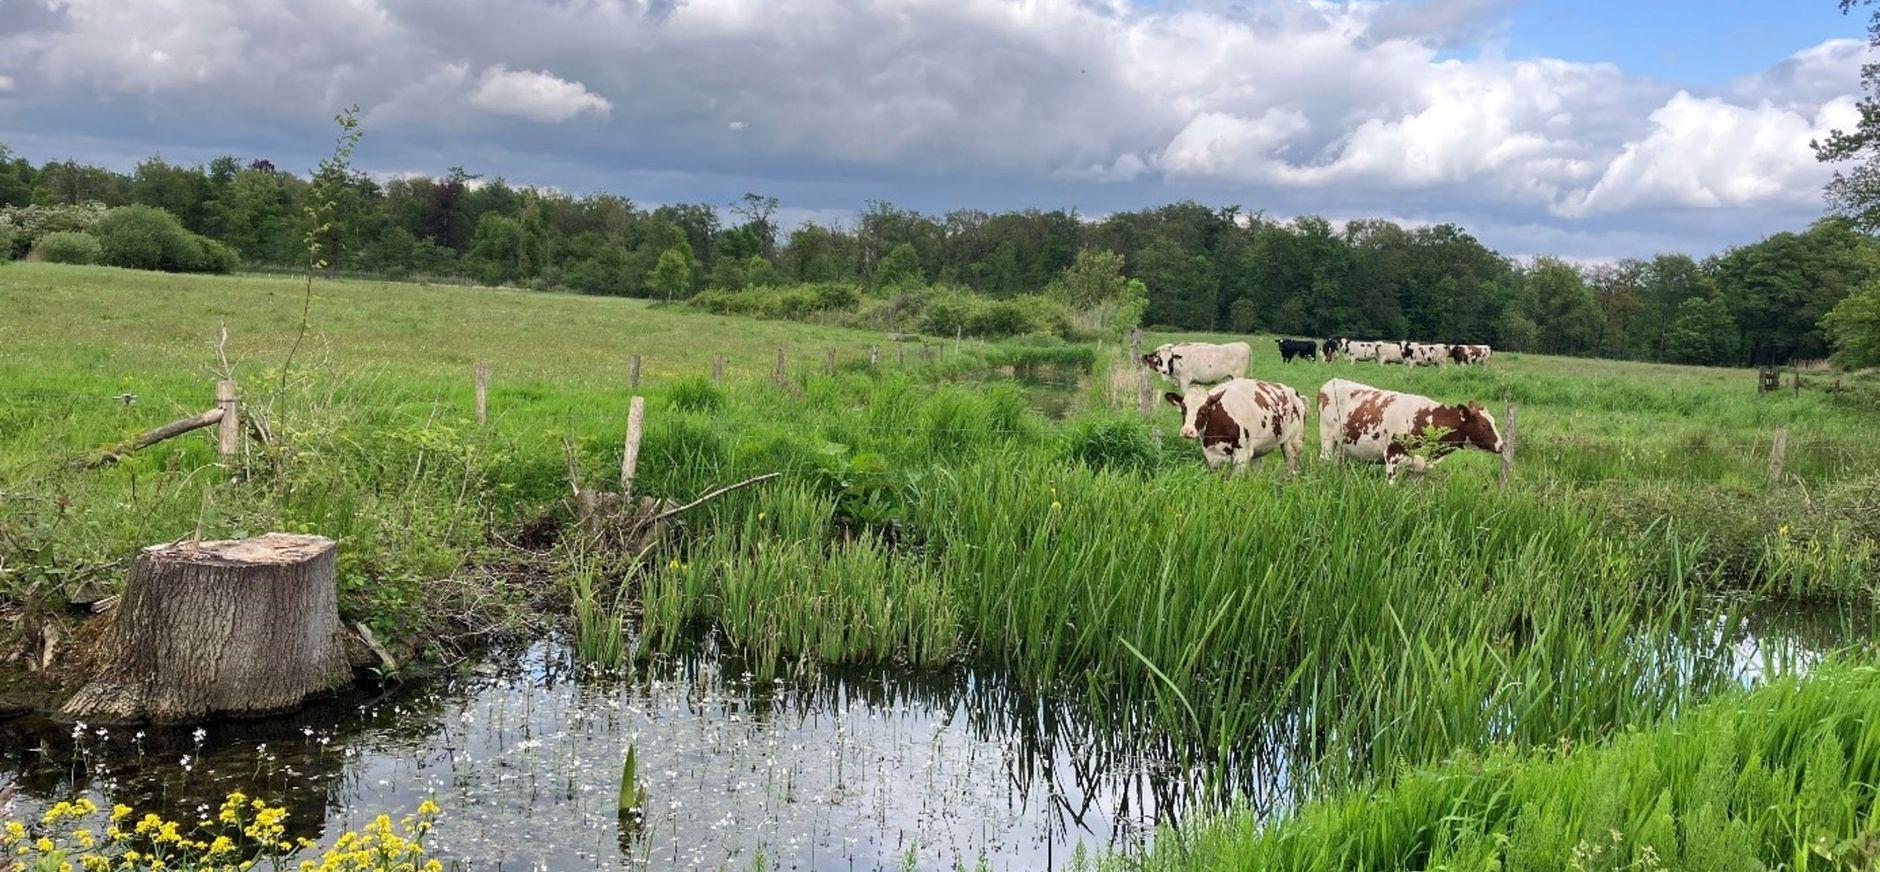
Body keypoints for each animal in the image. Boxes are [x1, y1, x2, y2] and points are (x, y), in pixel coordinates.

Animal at [1165, 378, 1307, 473]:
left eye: (1204, 409)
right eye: (1183, 408)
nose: (1187, 431)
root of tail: (1294, 393)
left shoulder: (1242, 456)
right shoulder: (1211, 456)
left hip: (1293, 443)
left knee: (1291, 470)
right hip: (1258, 451)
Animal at [1316, 378, 1504, 482]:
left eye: (1494, 422)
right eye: (1484, 425)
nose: (1501, 445)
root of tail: (1331, 382)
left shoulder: (1420, 466)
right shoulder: (1392, 455)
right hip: (1327, 439)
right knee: (1325, 459)